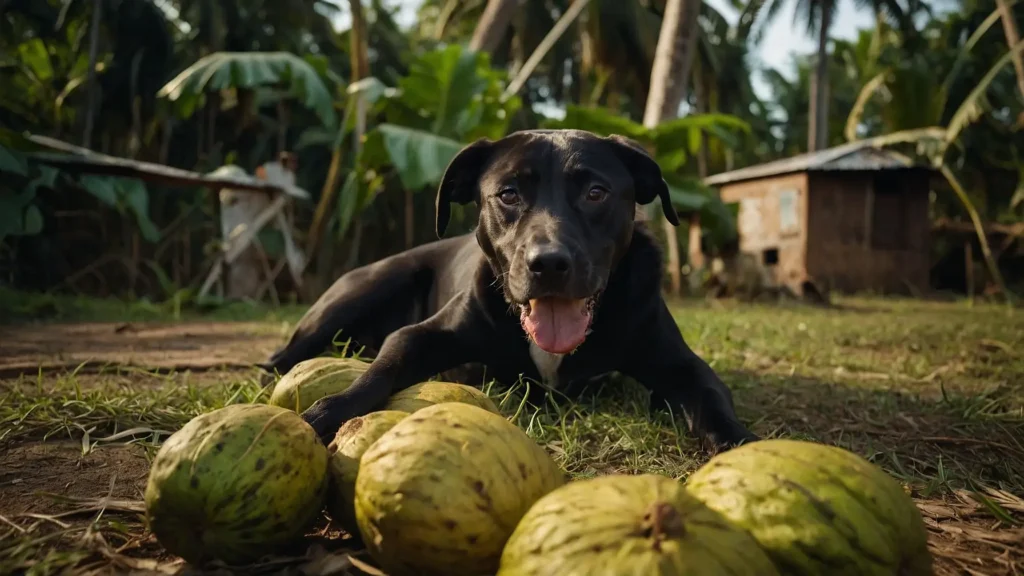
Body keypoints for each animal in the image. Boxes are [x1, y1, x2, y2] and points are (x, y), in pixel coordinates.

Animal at [264, 129, 761, 448]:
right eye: (508, 194)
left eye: (596, 193)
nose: (548, 264)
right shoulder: (420, 336)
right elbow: (384, 368)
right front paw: (332, 411)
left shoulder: (677, 362)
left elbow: (710, 396)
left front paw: (740, 444)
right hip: (365, 287)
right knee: (290, 351)